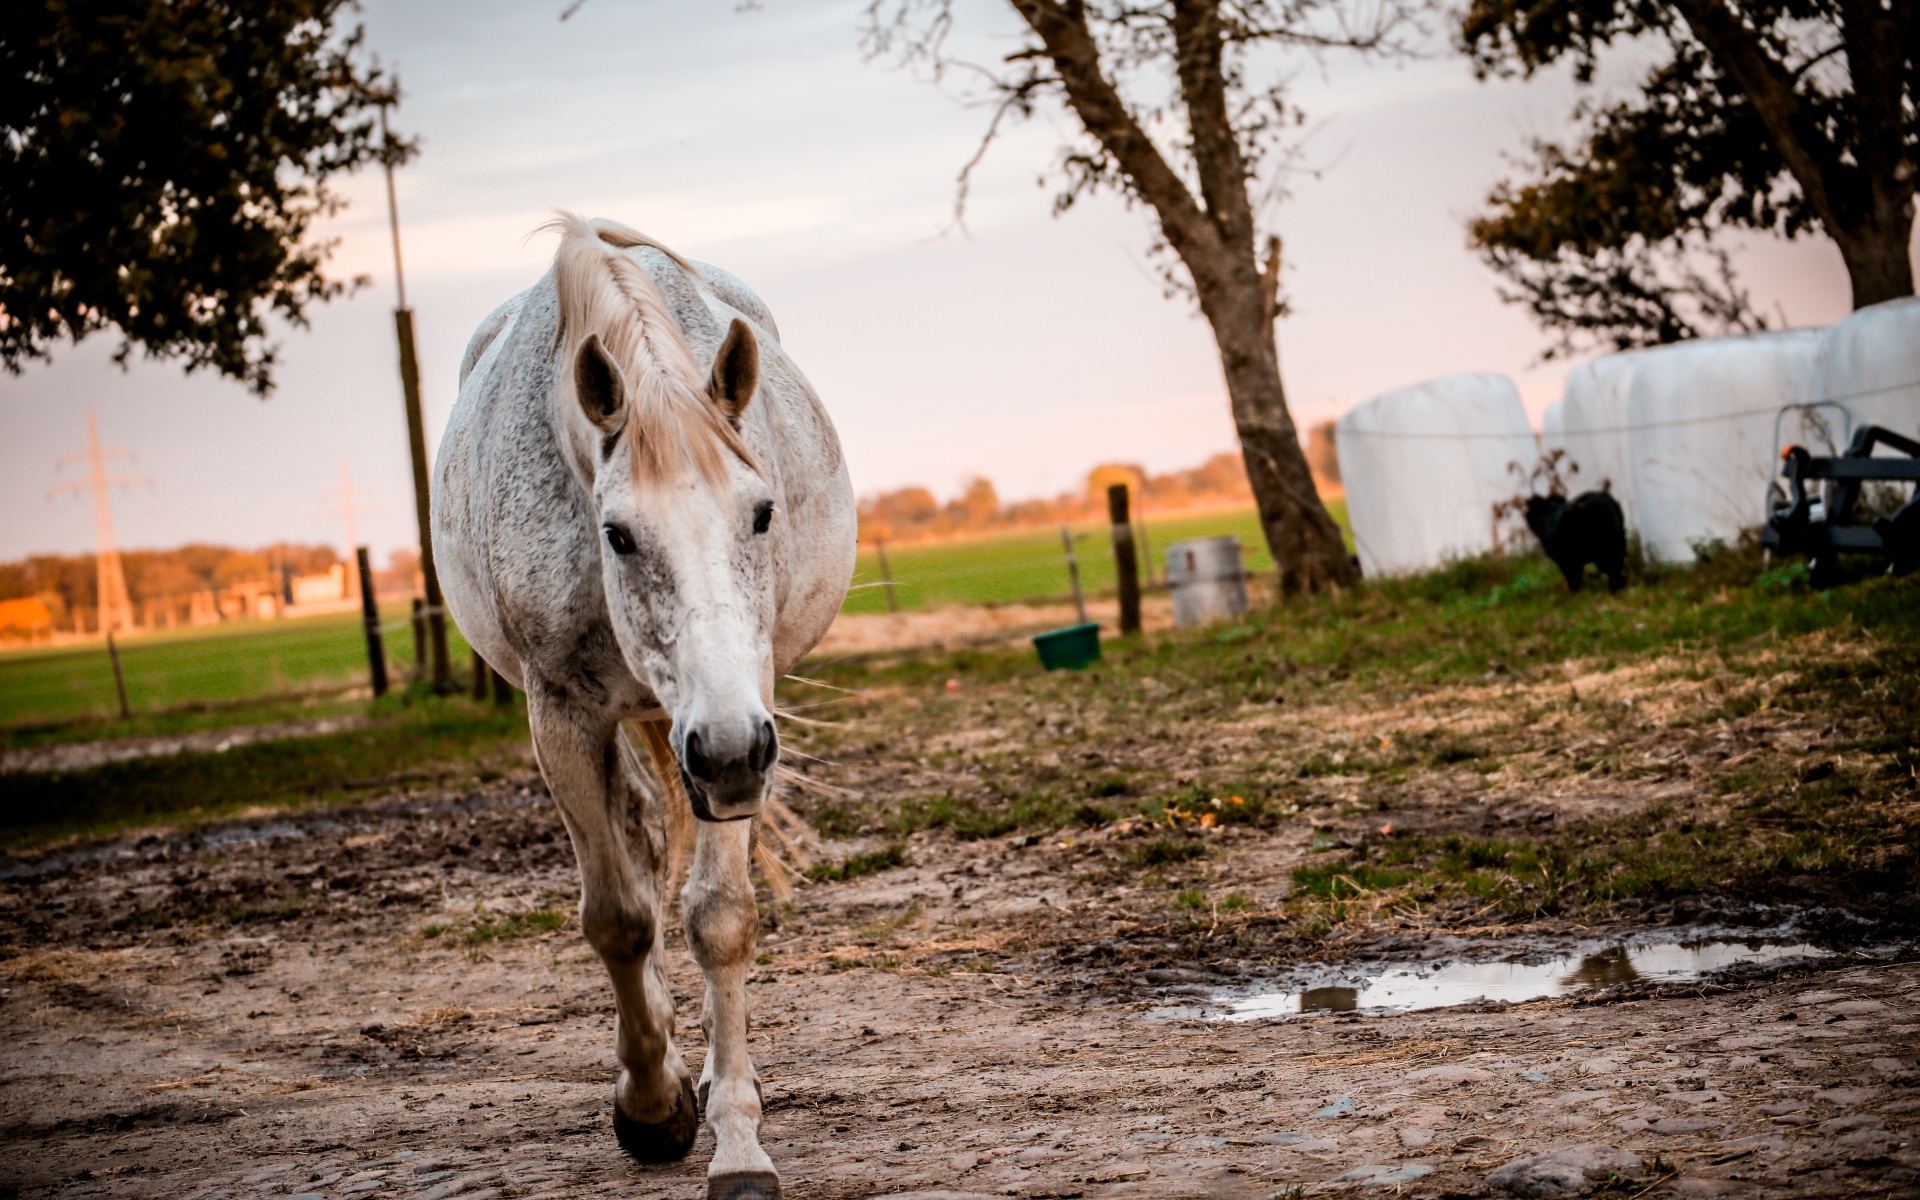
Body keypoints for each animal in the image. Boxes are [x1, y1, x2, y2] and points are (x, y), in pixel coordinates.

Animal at [432, 214, 856, 1200]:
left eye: (763, 513)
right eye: (617, 534)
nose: (729, 750)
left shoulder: (745, 715)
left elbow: (720, 917)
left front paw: (737, 1143)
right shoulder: (563, 716)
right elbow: (619, 918)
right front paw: (653, 1106)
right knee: (634, 840)